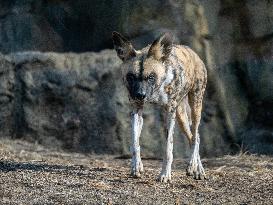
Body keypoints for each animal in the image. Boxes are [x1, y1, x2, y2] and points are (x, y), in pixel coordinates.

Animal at [111, 31, 206, 182]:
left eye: (151, 77)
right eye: (131, 77)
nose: (140, 94)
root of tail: (192, 52)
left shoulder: (169, 113)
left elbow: (168, 148)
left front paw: (165, 175)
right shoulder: (136, 110)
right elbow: (135, 142)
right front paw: (136, 166)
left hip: (195, 106)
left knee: (196, 136)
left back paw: (194, 167)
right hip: (181, 117)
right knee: (193, 137)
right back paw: (197, 168)